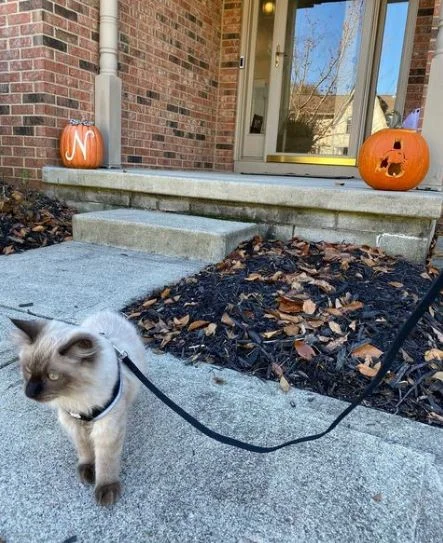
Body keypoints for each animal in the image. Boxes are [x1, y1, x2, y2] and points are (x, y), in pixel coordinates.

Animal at [10, 312, 147, 508]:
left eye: (53, 376)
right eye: (28, 370)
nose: (29, 393)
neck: (77, 400)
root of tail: (107, 312)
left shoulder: (107, 429)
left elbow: (105, 461)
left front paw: (105, 489)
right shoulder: (73, 424)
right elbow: (85, 451)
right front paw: (88, 471)